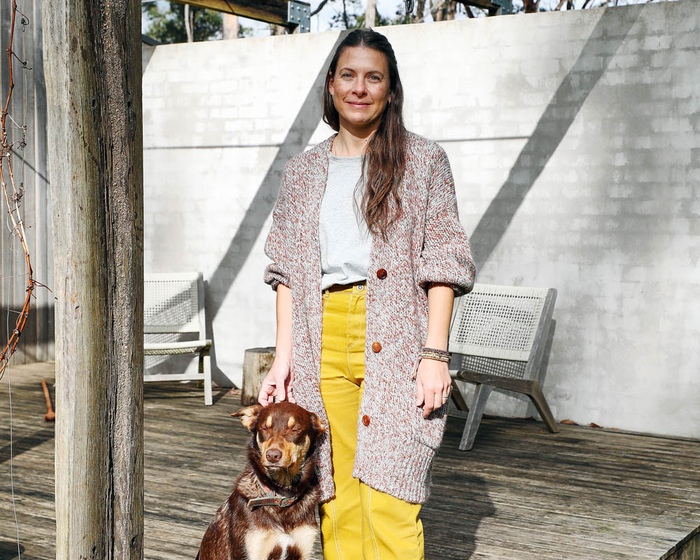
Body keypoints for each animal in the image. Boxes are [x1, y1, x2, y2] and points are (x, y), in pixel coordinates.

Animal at [197, 402, 326, 560]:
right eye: (264, 428)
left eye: (295, 429)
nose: (273, 455)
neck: (282, 495)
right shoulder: (252, 550)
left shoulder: (303, 549)